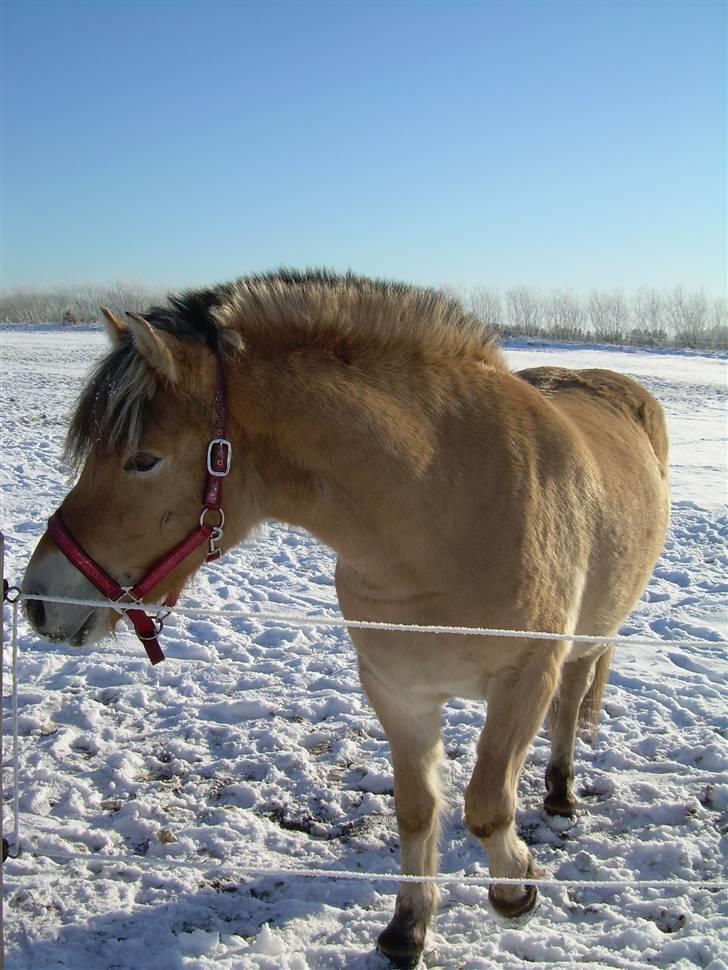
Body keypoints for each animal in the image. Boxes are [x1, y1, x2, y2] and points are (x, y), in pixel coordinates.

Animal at [22, 270, 672, 968]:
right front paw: (408, 927)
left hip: (588, 641)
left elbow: (486, 806)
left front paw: (515, 889)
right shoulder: (397, 690)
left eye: (144, 459)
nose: (38, 600)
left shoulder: (525, 679)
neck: (449, 508)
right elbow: (417, 809)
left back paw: (559, 794)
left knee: (572, 701)